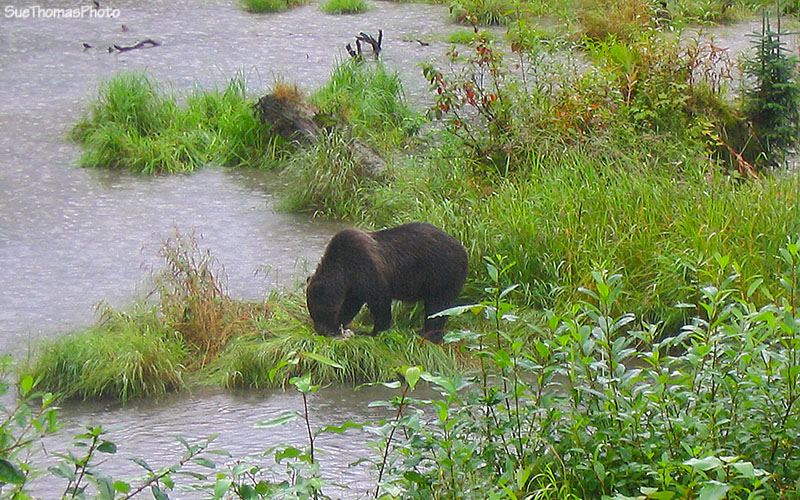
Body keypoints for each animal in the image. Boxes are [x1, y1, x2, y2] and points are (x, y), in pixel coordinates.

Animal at [306, 222, 468, 343]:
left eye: (318, 311)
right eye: (312, 311)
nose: (320, 330)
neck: (344, 269)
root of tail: (463, 250)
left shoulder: (366, 267)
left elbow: (379, 301)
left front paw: (375, 331)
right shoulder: (354, 285)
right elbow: (350, 305)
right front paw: (339, 326)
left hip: (441, 272)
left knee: (438, 306)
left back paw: (427, 333)